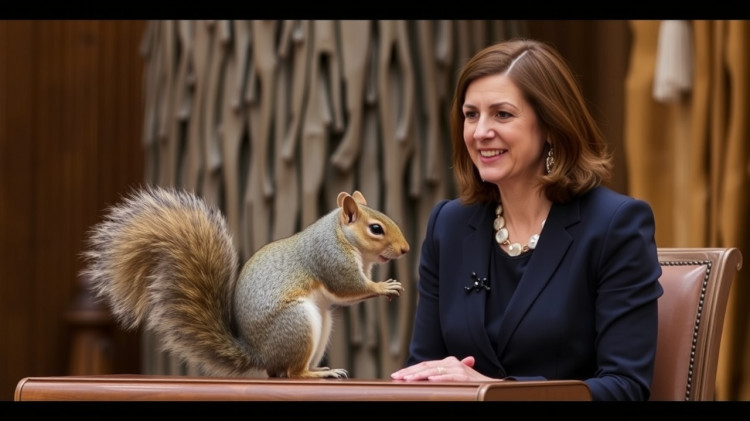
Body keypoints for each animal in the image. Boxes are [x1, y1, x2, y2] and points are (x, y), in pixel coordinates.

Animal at [81, 185, 409, 379]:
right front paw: (384, 287)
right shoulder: (330, 258)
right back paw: (316, 374)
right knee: (292, 373)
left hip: (320, 324)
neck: (343, 236)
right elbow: (350, 287)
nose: (405, 249)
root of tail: (259, 354)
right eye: (376, 229)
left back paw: (319, 368)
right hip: (297, 323)